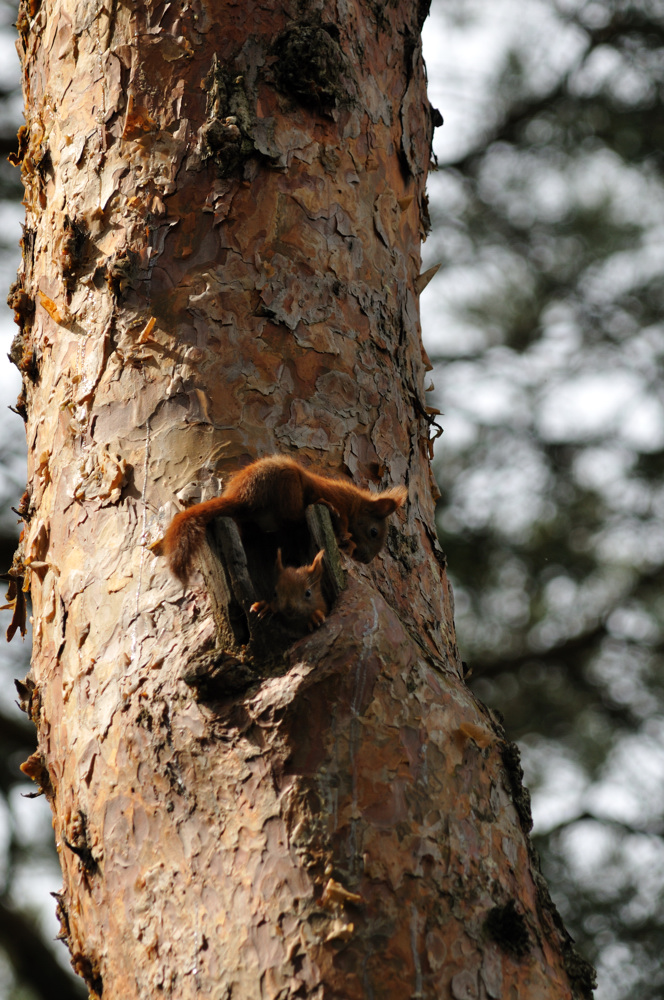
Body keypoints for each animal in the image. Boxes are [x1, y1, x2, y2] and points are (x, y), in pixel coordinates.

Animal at [163, 450, 408, 584]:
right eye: (374, 532)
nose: (366, 559)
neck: (352, 504)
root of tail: (241, 497)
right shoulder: (336, 498)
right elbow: (341, 522)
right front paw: (344, 535)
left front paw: (346, 544)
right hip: (286, 483)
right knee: (294, 514)